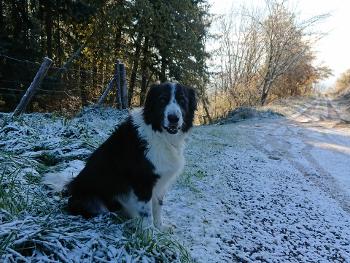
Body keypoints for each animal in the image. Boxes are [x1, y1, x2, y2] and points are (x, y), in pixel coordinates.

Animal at [45, 82, 196, 231]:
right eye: (162, 100)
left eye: (182, 101)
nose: (173, 118)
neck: (160, 135)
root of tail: (71, 187)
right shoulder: (142, 182)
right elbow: (147, 213)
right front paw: (150, 234)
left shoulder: (160, 182)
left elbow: (157, 207)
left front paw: (160, 227)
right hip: (94, 202)